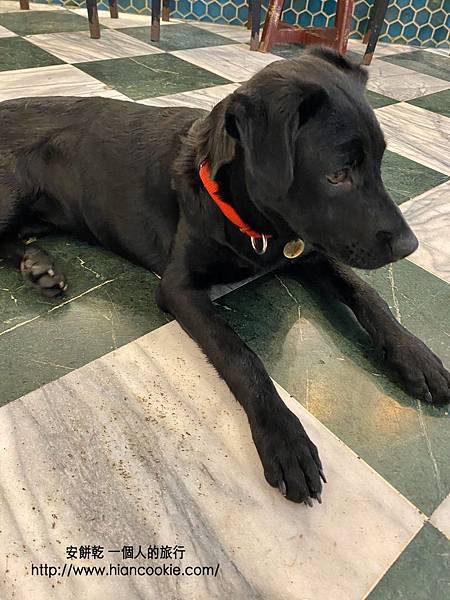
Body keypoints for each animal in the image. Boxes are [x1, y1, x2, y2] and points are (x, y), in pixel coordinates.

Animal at [1, 47, 449, 506]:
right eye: (337, 175)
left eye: (380, 162)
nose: (411, 245)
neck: (259, 228)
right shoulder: (179, 288)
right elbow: (239, 353)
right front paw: (284, 437)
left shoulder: (309, 251)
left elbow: (366, 293)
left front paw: (415, 354)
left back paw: (37, 266)